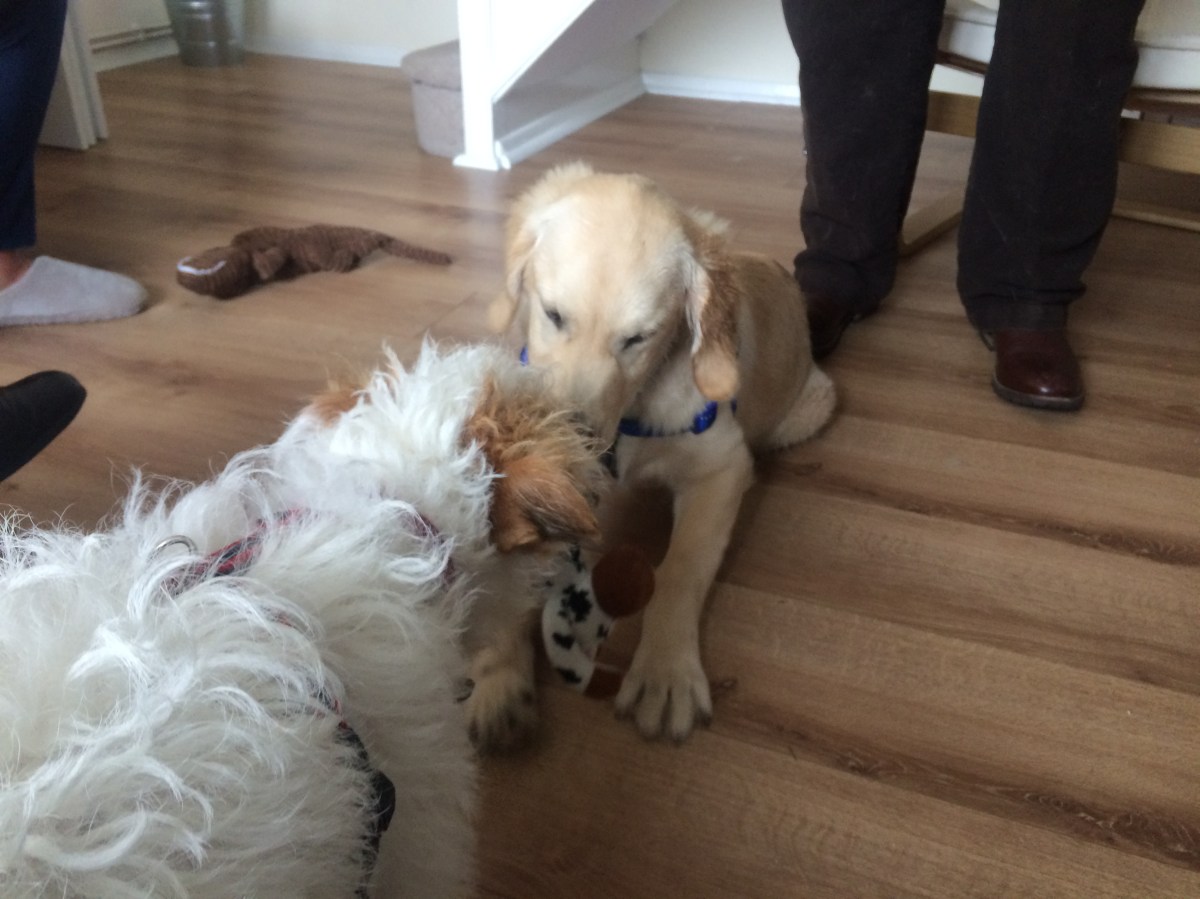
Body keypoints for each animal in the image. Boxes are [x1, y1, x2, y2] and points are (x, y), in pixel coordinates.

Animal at [489, 162, 837, 741]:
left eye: (638, 339)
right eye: (553, 315)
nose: (575, 443)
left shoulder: (722, 467)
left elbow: (679, 568)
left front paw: (666, 673)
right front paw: (496, 674)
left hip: (811, 405)